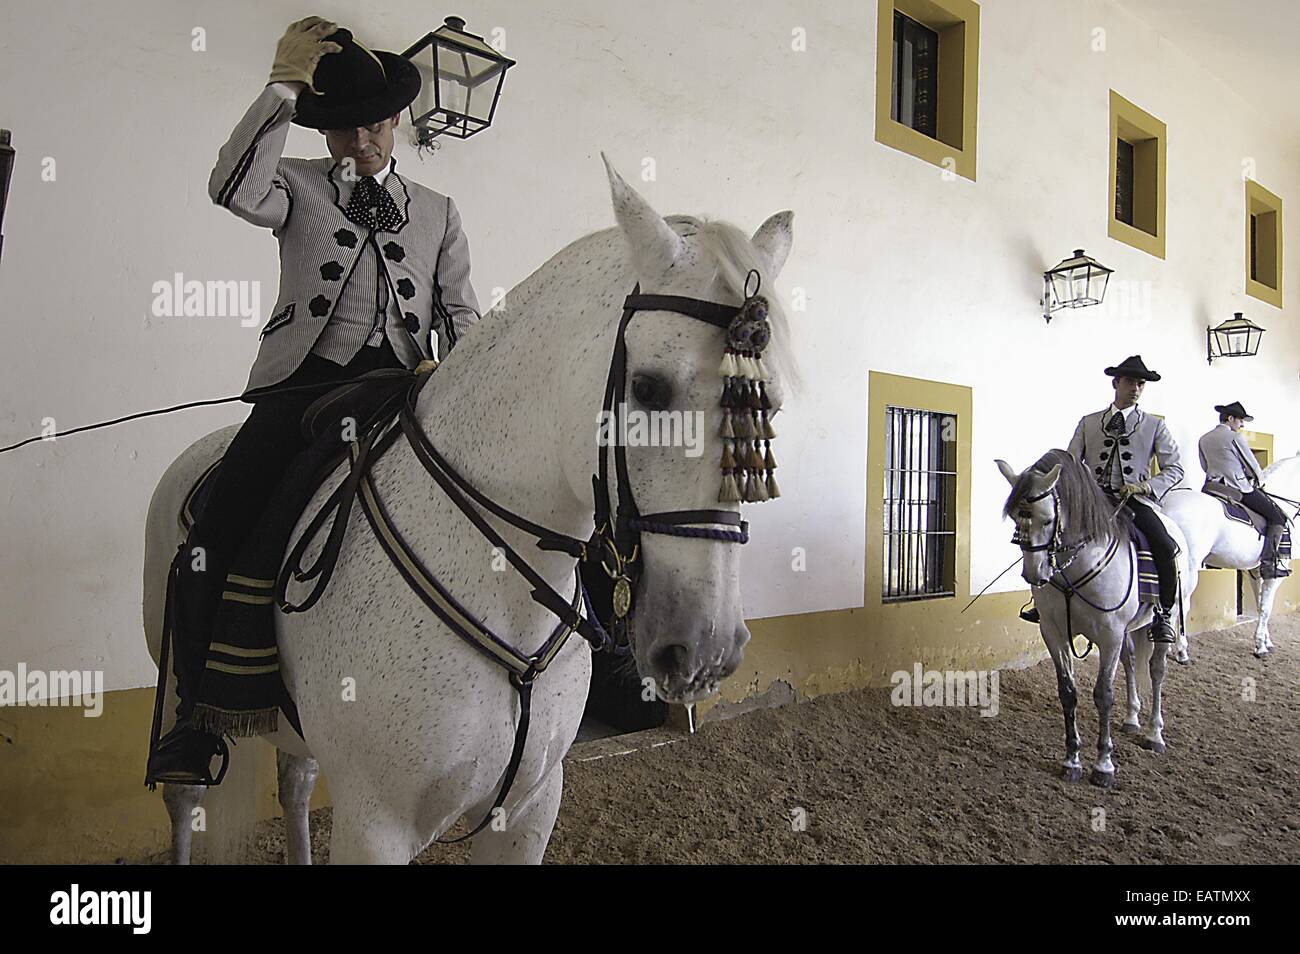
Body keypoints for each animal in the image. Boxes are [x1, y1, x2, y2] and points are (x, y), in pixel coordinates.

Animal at [139, 157, 790, 868]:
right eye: (647, 388)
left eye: (768, 406)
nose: (707, 648)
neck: (500, 580)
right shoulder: (376, 826)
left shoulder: (528, 809)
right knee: (184, 799)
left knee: (295, 780)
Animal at [998, 452, 1190, 790]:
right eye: (1016, 520)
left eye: (1047, 520)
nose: (1035, 574)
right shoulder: (1054, 633)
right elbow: (1068, 692)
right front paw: (1072, 760)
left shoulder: (1110, 635)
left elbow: (1104, 695)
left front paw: (1104, 765)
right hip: (1128, 632)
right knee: (1130, 662)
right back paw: (1131, 720)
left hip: (1162, 623)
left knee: (1156, 670)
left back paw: (1154, 734)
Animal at [1164, 457, 1294, 665]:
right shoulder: (1275, 575)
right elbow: (1266, 607)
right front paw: (1261, 646)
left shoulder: (1256, 571)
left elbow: (1260, 604)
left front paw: (1266, 641)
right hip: (1188, 570)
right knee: (1180, 604)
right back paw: (1181, 651)